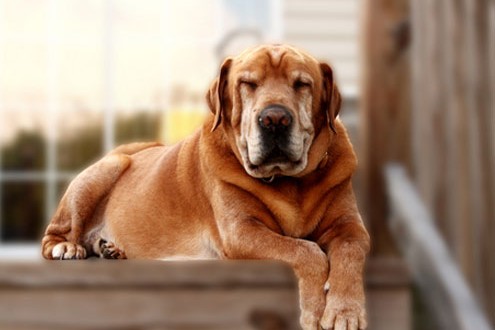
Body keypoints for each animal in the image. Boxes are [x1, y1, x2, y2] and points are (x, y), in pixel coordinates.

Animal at [41, 44, 368, 330]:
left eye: (302, 84)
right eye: (248, 83)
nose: (275, 118)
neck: (289, 182)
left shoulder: (349, 226)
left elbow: (349, 252)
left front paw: (345, 311)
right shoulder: (242, 232)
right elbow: (306, 251)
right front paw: (315, 309)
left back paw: (109, 249)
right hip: (108, 168)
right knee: (54, 235)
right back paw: (67, 246)